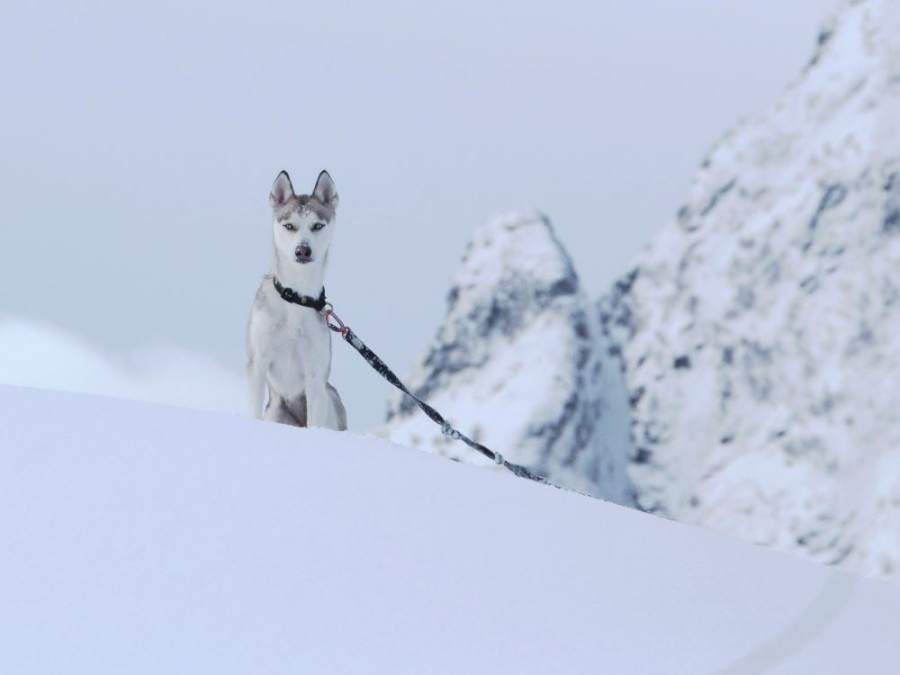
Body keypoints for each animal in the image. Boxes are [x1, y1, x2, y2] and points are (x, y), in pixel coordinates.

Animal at [246, 172, 348, 430]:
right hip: (275, 411)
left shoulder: (315, 372)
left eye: (317, 226)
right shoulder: (258, 360)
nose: (303, 250)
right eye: (289, 226)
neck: (296, 299)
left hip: (329, 397)